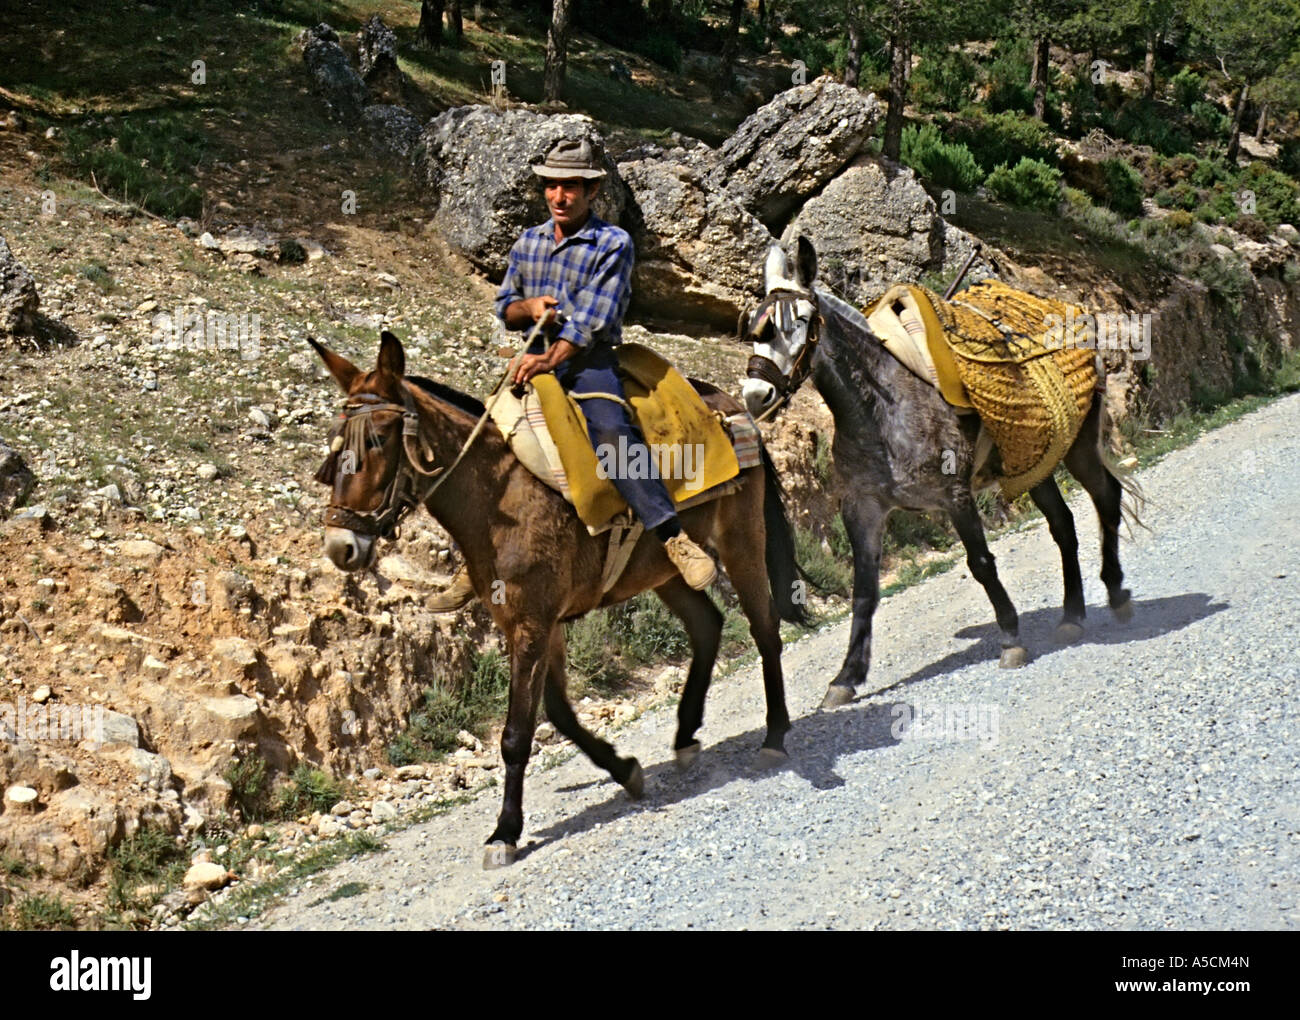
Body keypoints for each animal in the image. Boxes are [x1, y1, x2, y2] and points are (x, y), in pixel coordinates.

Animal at [310, 330, 808, 868]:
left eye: (378, 439)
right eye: (335, 443)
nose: (340, 546)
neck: (499, 498)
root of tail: (733, 409)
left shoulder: (533, 623)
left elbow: (516, 733)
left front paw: (504, 832)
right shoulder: (531, 626)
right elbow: (560, 714)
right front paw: (625, 770)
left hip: (742, 541)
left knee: (765, 630)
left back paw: (775, 736)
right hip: (663, 571)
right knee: (708, 626)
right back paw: (685, 736)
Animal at [740, 237, 1140, 710]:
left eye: (800, 320)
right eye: (754, 326)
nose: (756, 395)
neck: (883, 409)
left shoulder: (956, 497)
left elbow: (981, 564)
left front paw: (1011, 639)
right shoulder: (863, 510)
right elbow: (864, 591)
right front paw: (846, 677)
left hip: (1076, 448)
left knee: (1106, 497)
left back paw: (1115, 594)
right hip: (1033, 464)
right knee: (1063, 525)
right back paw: (1073, 615)